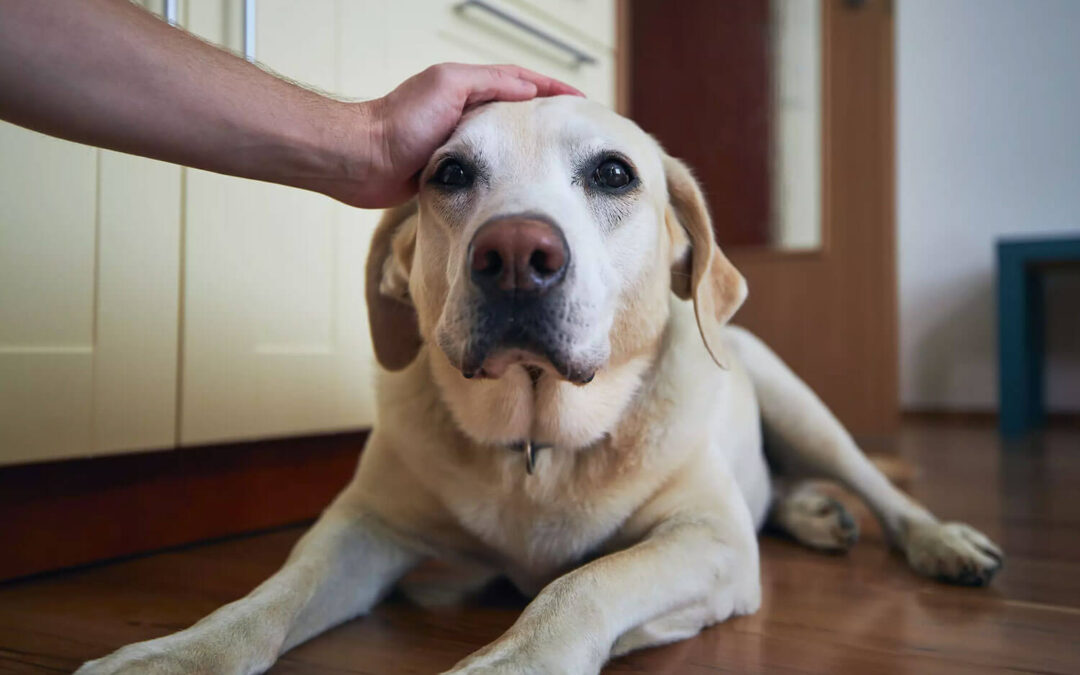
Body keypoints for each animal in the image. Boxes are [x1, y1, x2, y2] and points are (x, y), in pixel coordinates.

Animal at [78, 95, 1002, 673]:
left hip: (797, 402)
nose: (517, 254)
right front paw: (173, 654)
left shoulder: (710, 541)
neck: (535, 440)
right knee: (779, 496)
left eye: (615, 173)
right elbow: (270, 593)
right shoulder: (364, 526)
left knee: (881, 491)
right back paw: (813, 515)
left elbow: (582, 583)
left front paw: (509, 659)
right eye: (449, 173)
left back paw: (940, 540)